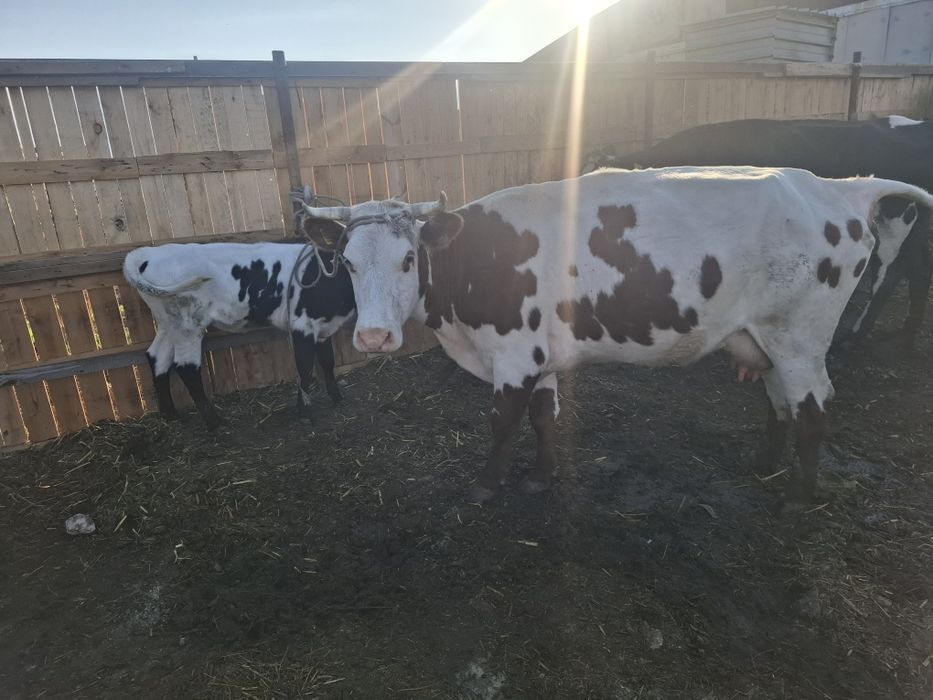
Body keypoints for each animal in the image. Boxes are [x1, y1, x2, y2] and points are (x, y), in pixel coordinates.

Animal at [122, 219, 355, 429]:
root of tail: (151, 253)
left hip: (169, 323)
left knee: (157, 356)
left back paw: (170, 414)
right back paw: (215, 422)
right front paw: (305, 412)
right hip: (187, 324)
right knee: (186, 367)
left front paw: (337, 398)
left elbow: (327, 361)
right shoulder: (302, 324)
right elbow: (305, 367)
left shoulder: (323, 325)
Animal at [297, 167, 933, 503]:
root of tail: (838, 187)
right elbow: (544, 417)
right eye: (347, 262)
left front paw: (486, 484)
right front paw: (542, 477)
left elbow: (503, 420)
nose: (373, 338)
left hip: (800, 338)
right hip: (769, 339)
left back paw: (800, 494)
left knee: (813, 409)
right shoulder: (539, 354)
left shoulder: (513, 354)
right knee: (779, 402)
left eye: (408, 259)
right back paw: (763, 467)